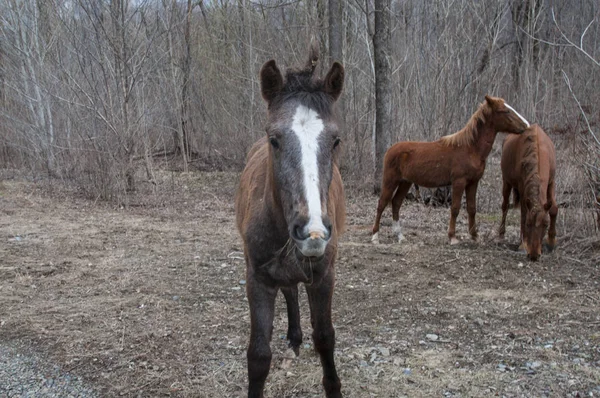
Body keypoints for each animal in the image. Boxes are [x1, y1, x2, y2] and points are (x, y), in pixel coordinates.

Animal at [236, 47, 346, 398]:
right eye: (274, 139)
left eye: (335, 141)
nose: (312, 231)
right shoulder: (257, 280)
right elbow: (258, 356)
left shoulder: (324, 277)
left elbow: (325, 338)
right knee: (290, 291)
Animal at [370, 96, 528, 246]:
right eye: (505, 111)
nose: (525, 125)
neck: (470, 148)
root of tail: (390, 150)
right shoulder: (459, 182)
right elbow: (455, 208)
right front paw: (452, 237)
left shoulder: (473, 182)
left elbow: (472, 208)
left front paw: (475, 236)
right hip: (391, 180)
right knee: (382, 204)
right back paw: (375, 236)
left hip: (405, 182)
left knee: (396, 203)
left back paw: (400, 236)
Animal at [496, 124, 556, 262]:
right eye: (529, 223)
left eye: (546, 224)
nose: (533, 255)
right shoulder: (522, 188)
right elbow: (523, 214)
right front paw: (523, 245)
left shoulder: (551, 182)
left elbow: (553, 209)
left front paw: (551, 242)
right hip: (506, 181)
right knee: (505, 206)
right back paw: (501, 235)